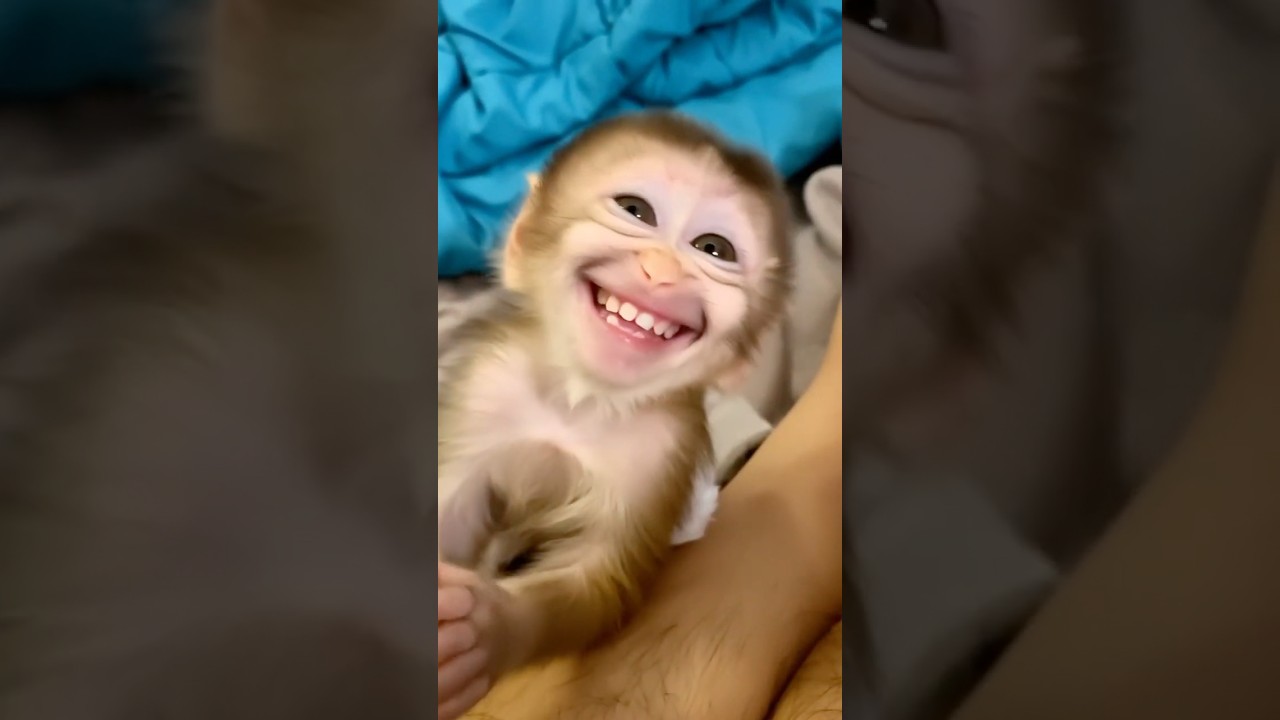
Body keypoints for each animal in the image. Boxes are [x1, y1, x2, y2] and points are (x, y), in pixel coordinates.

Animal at [434, 111, 794, 717]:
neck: (579, 404)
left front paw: (489, 631)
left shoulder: (661, 448)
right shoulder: (489, 384)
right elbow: (451, 504)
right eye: (635, 211)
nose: (660, 270)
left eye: (714, 248)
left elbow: (597, 579)